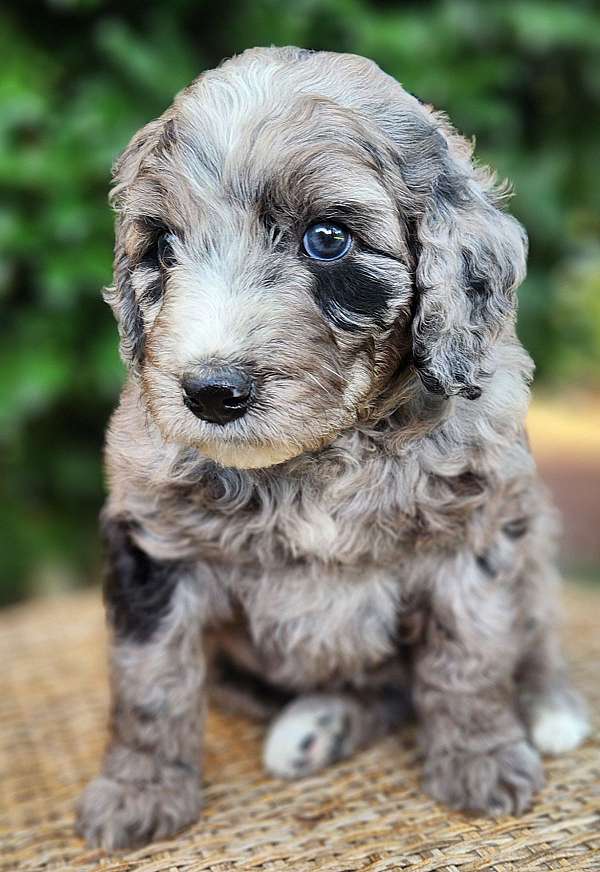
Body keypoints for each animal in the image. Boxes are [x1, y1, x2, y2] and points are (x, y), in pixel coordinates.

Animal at [77, 44, 588, 848]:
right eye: (160, 247)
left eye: (327, 238)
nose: (210, 393)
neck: (320, 459)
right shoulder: (153, 543)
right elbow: (149, 681)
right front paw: (139, 791)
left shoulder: (473, 527)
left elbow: (472, 656)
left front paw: (480, 760)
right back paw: (316, 728)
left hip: (531, 527)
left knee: (528, 629)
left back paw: (550, 707)